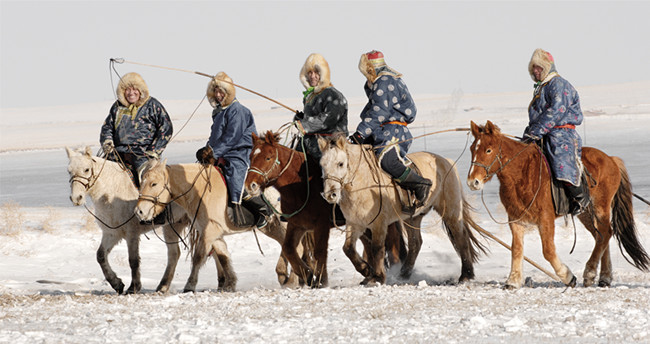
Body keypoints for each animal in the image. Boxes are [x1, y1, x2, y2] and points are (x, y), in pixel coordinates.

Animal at [67, 146, 191, 294]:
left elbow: (133, 260)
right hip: (171, 227)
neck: (111, 191)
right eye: (69, 171)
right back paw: (163, 286)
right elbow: (101, 256)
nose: (76, 198)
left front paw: (133, 287)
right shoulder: (112, 233)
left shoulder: (132, 234)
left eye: (86, 169)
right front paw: (117, 284)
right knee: (174, 254)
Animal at [135, 160, 296, 292]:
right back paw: (286, 276)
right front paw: (230, 284)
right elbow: (223, 256)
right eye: (141, 183)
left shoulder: (209, 231)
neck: (199, 191)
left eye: (154, 184)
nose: (139, 211)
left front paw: (190, 285)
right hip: (272, 227)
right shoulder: (214, 232)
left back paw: (292, 280)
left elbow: (198, 257)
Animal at [318, 134, 486, 284]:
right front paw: (366, 270)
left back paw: (466, 275)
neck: (363, 182)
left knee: (461, 238)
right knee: (415, 243)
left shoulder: (378, 223)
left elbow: (377, 248)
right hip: (412, 218)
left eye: (340, 163)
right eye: (322, 165)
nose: (330, 194)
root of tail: (446, 161)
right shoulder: (355, 223)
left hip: (451, 210)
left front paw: (377, 277)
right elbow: (348, 248)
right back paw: (403, 274)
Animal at [466, 120, 648, 288]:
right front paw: (513, 280)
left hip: (600, 207)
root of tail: (611, 159)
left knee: (605, 233)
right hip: (585, 212)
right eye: (472, 149)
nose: (473, 182)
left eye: (488, 150)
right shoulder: (516, 219)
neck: (523, 174)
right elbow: (516, 249)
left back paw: (589, 273)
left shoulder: (545, 219)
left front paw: (568, 277)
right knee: (601, 236)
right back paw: (604, 277)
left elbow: (548, 250)